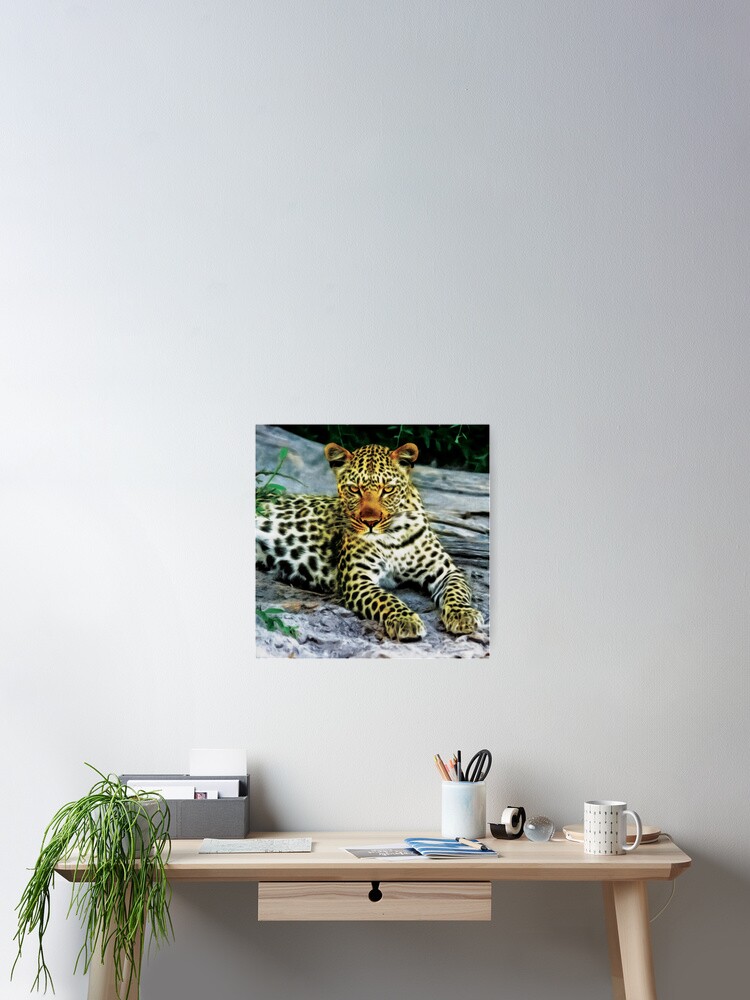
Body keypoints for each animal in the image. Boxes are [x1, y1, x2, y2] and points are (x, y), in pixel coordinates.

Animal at [255, 441, 484, 641]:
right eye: (354, 489)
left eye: (388, 489)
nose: (370, 522)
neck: (394, 534)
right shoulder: (357, 579)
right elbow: (386, 599)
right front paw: (405, 620)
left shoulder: (446, 570)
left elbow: (456, 591)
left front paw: (464, 615)